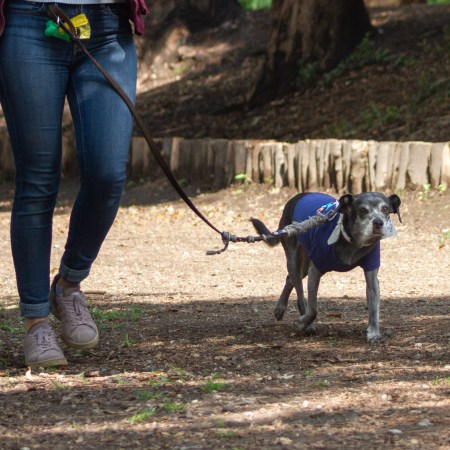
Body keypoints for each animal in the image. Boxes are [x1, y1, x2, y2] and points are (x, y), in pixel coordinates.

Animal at [251, 192, 402, 344]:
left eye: (385, 209)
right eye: (363, 210)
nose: (378, 223)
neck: (352, 243)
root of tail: (297, 197)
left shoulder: (372, 276)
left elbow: (374, 309)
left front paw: (374, 334)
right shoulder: (315, 271)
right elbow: (313, 310)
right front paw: (303, 322)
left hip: (305, 263)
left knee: (289, 279)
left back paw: (280, 308)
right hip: (294, 259)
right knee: (299, 294)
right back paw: (306, 324)